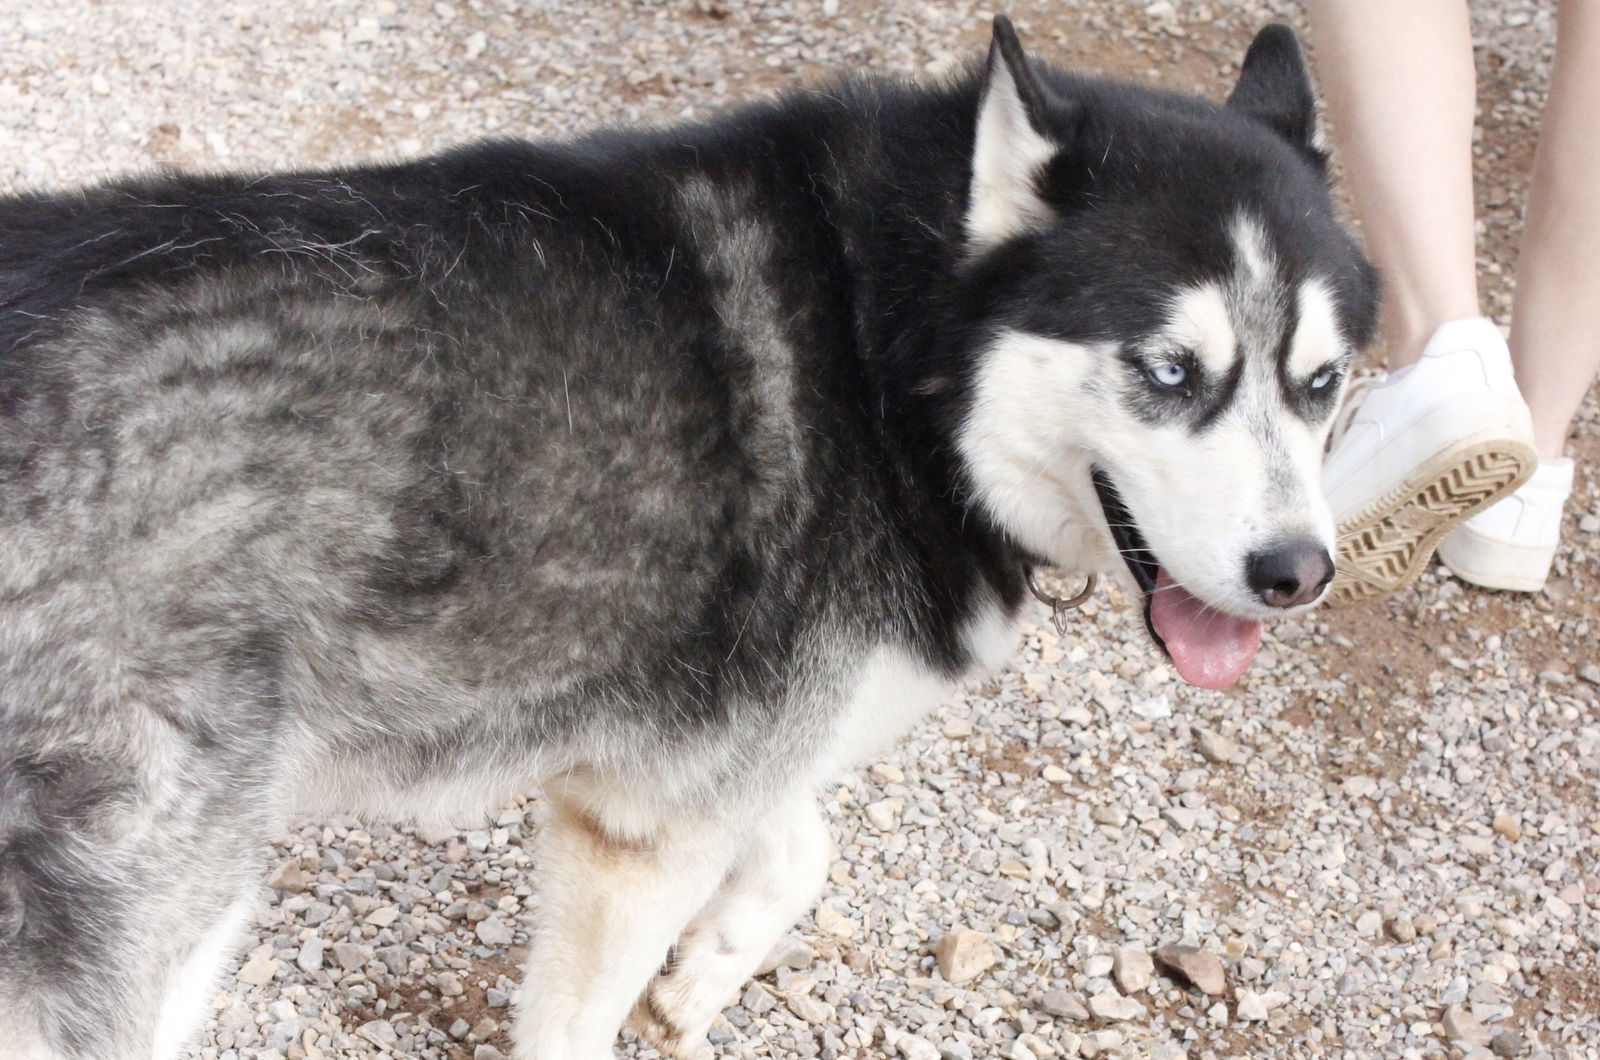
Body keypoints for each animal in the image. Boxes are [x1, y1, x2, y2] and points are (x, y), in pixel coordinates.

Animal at [0, 18, 1376, 1060]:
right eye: (1168, 369)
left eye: (1321, 383)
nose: (1296, 575)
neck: (891, 352)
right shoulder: (647, 829)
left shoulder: (706, 749)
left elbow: (799, 844)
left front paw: (705, 973)